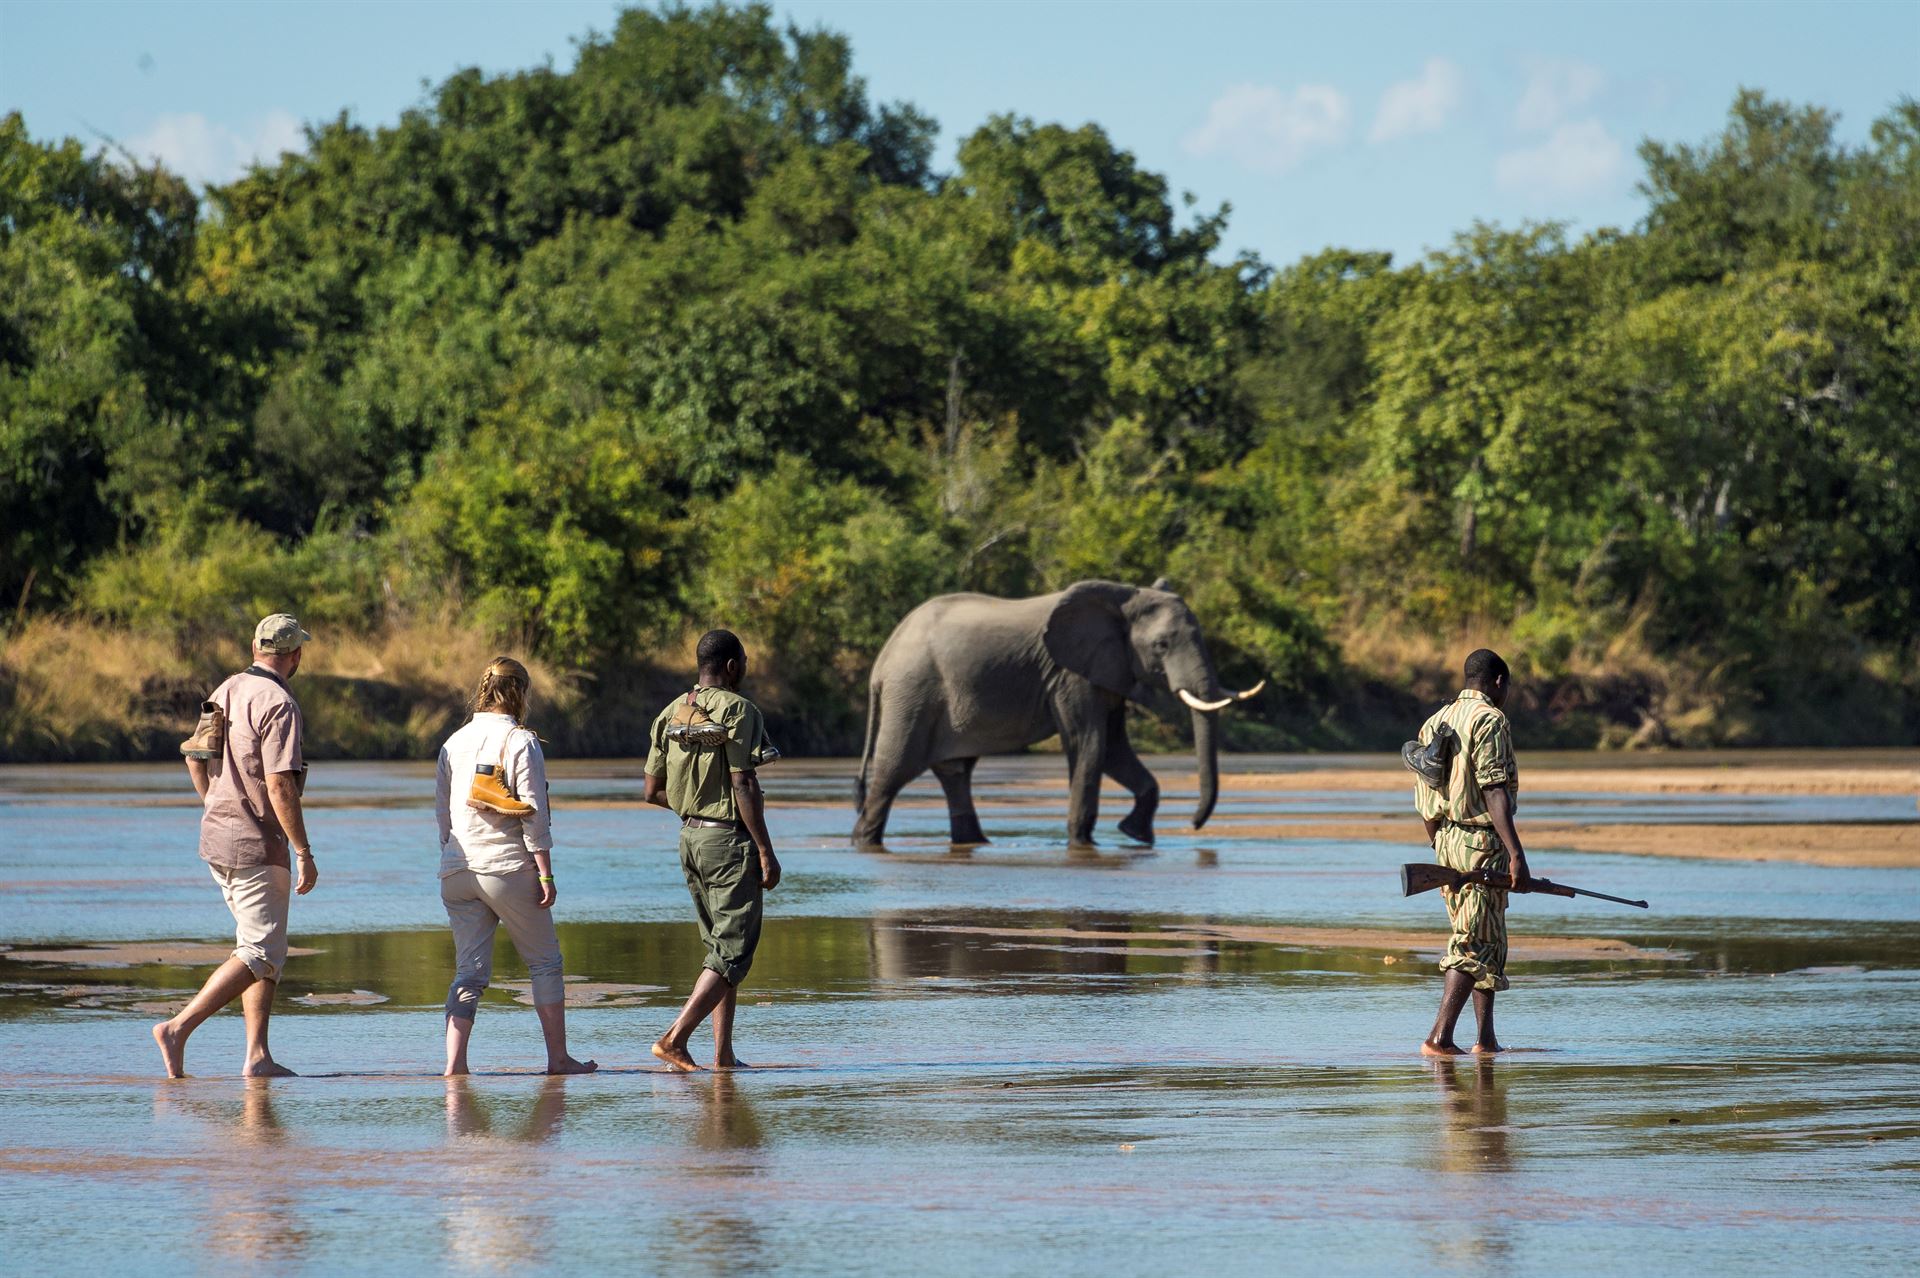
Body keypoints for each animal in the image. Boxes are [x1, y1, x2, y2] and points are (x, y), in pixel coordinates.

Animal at [852, 575, 1259, 844]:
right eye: (1161, 645)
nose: (1193, 825)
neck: (1121, 599)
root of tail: (881, 662)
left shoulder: (1107, 669)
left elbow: (1114, 748)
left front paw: (1135, 834)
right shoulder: (1069, 674)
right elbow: (1089, 744)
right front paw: (1083, 843)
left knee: (956, 773)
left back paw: (974, 844)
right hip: (913, 693)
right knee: (893, 772)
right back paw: (863, 842)